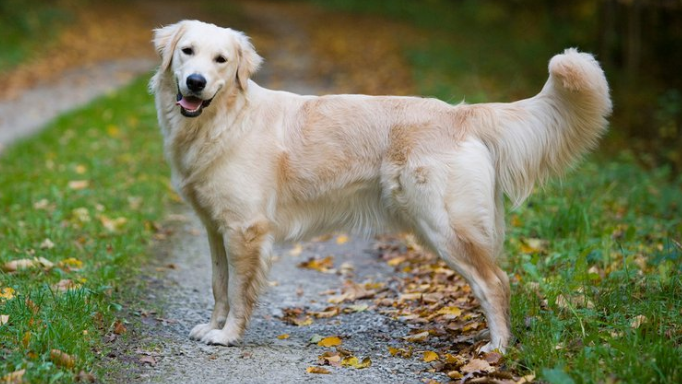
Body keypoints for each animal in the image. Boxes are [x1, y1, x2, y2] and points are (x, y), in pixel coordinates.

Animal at [149, 19, 612, 352]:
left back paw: (497, 350)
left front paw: (228, 336)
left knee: (495, 283)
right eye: (187, 52)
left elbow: (239, 291)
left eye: (221, 60)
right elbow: (218, 286)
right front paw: (212, 327)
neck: (224, 119)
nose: (195, 82)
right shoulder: (216, 229)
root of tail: (462, 113)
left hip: (446, 226)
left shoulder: (246, 230)